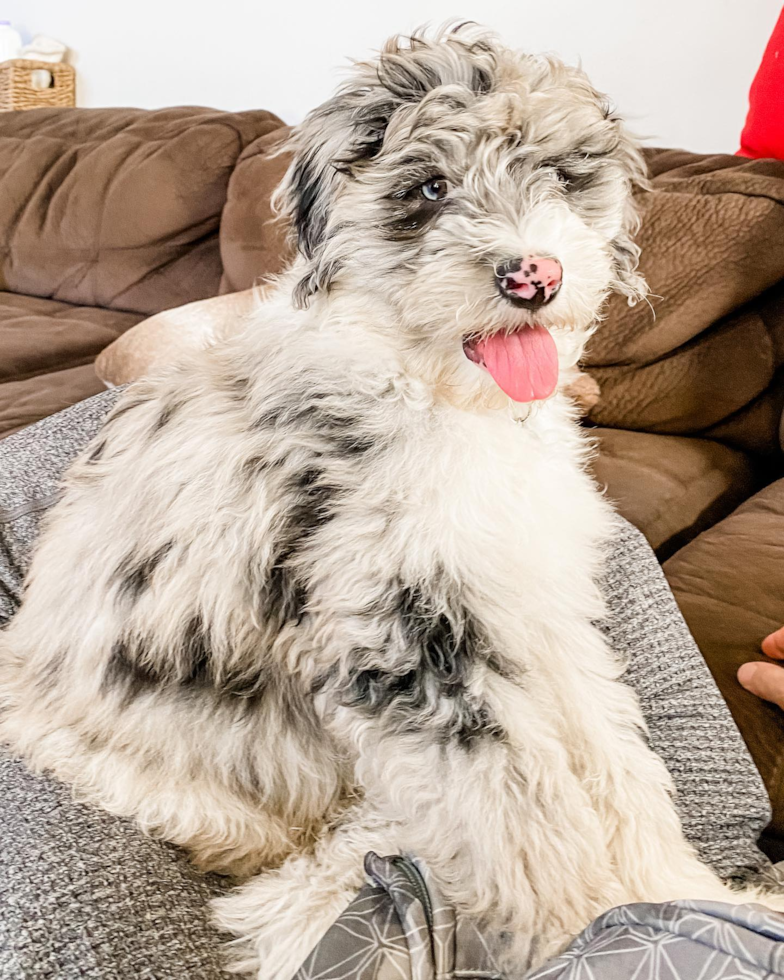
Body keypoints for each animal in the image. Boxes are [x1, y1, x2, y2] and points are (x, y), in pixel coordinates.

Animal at [0, 23, 776, 980]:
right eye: (429, 189)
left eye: (562, 175)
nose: (534, 276)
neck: (431, 391)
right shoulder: (408, 640)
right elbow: (523, 815)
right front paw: (591, 924)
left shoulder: (531, 607)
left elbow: (614, 762)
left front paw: (680, 889)